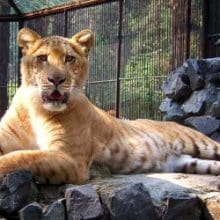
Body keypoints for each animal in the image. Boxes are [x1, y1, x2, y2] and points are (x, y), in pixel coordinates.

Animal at [0, 27, 220, 184]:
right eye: (42, 58)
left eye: (69, 58)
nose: (57, 79)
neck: (35, 107)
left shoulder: (71, 159)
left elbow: (23, 158)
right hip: (190, 162)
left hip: (199, 142)